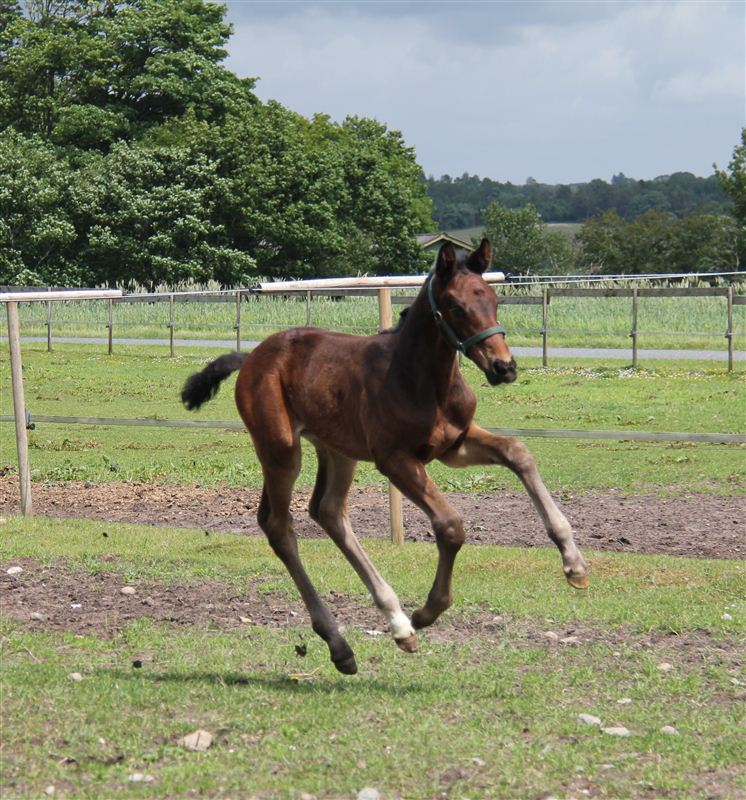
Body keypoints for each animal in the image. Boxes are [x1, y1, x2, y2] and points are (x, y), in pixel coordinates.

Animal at [182, 239, 588, 674]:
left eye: (494, 300)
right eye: (456, 307)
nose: (504, 367)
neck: (422, 380)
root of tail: (252, 357)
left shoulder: (454, 446)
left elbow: (519, 453)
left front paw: (574, 565)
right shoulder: (395, 460)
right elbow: (450, 526)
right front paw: (427, 611)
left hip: (336, 450)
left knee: (327, 511)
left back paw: (393, 625)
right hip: (280, 449)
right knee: (279, 525)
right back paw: (347, 641)